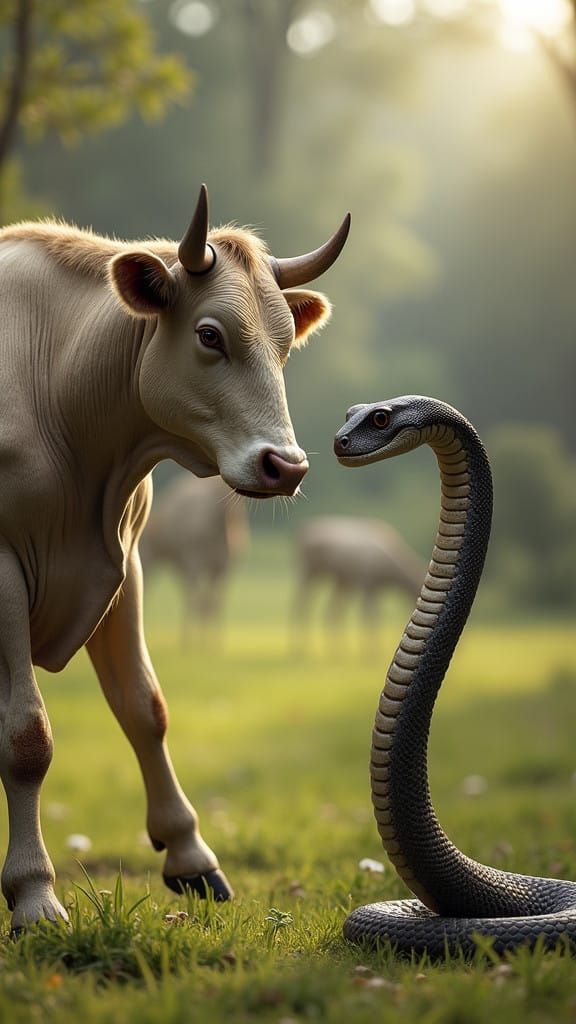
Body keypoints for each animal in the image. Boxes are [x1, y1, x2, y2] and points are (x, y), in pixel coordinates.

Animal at [140, 473, 248, 645]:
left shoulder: (222, 568)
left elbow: (212, 604)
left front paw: (212, 642)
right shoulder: (194, 562)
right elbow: (200, 602)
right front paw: (194, 641)